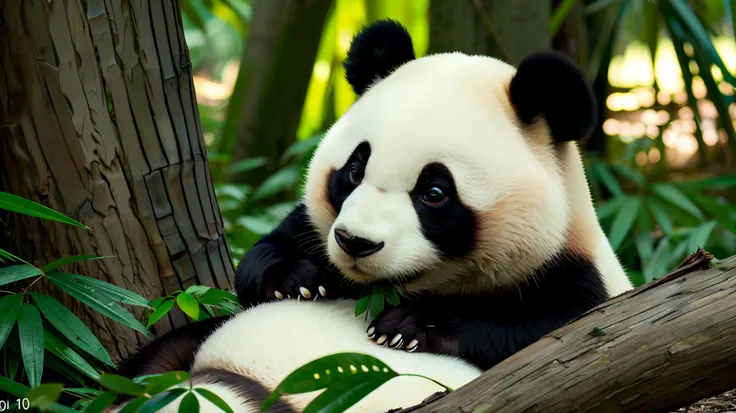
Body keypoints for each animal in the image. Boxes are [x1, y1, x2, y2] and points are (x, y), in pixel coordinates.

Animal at [116, 16, 632, 408]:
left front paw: (407, 329)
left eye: (435, 192)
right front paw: (296, 279)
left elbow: (545, 328)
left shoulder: (577, 279)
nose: (355, 243)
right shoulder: (312, 229)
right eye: (354, 168)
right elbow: (267, 255)